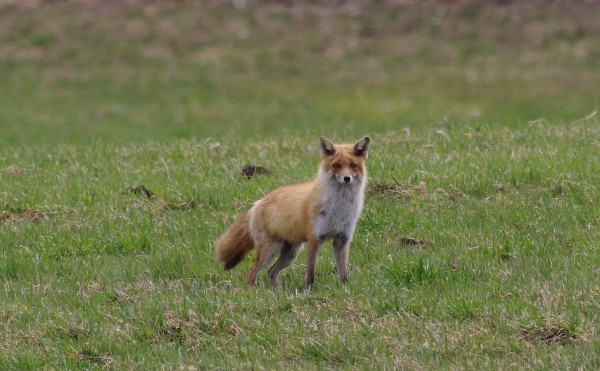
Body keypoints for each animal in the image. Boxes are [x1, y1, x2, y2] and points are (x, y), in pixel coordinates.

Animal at [213, 137, 368, 288]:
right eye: (336, 165)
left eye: (353, 165)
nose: (347, 178)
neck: (339, 208)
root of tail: (257, 203)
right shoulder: (314, 238)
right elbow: (310, 273)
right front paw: (309, 290)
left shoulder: (342, 239)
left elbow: (344, 273)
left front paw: (345, 289)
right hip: (269, 252)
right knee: (252, 273)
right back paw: (253, 291)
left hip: (290, 254)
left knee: (270, 271)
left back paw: (276, 291)